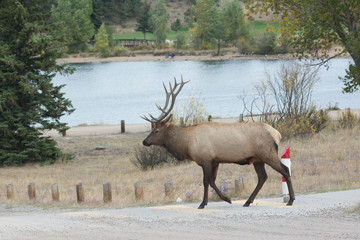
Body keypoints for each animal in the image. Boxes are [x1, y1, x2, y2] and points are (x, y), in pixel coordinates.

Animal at [141, 76, 296, 208]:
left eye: (156, 131)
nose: (144, 141)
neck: (187, 144)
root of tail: (277, 134)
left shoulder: (206, 159)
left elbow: (206, 182)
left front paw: (204, 203)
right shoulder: (215, 161)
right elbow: (212, 181)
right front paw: (227, 198)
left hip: (268, 153)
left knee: (284, 169)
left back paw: (290, 200)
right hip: (257, 159)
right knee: (262, 177)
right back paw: (248, 201)